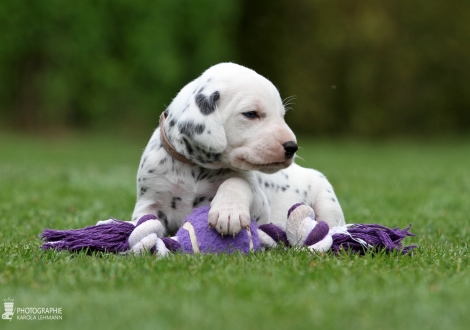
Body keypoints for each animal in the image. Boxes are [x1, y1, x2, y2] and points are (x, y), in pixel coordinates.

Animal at [130, 62, 344, 237]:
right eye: (251, 114)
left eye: (282, 115)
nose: (292, 146)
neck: (196, 169)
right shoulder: (149, 203)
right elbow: (144, 221)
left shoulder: (261, 206)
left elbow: (237, 181)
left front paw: (228, 212)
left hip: (327, 200)